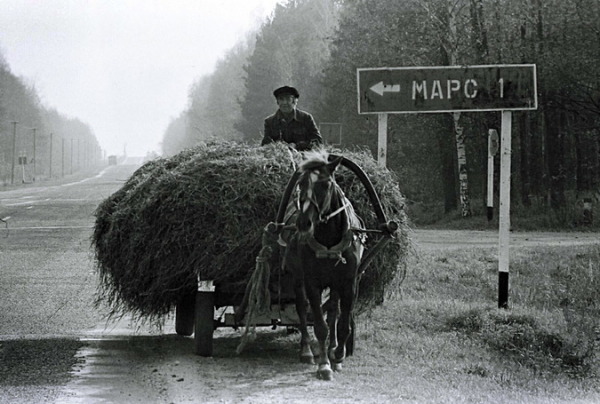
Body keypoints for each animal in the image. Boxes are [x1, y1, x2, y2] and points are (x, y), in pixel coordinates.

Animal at [282, 150, 366, 380]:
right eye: (300, 183)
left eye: (326, 184)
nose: (304, 223)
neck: (329, 238)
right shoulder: (312, 283)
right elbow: (319, 325)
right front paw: (324, 365)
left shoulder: (349, 283)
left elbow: (343, 323)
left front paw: (338, 354)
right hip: (297, 278)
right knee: (302, 310)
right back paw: (307, 351)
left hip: (336, 284)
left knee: (334, 311)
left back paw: (333, 347)